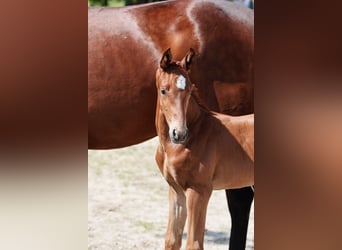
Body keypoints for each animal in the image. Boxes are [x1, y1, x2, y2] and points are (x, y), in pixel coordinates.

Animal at [155, 48, 254, 250]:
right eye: (163, 91)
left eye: (190, 90)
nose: (179, 133)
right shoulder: (176, 190)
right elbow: (172, 240)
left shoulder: (199, 190)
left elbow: (193, 244)